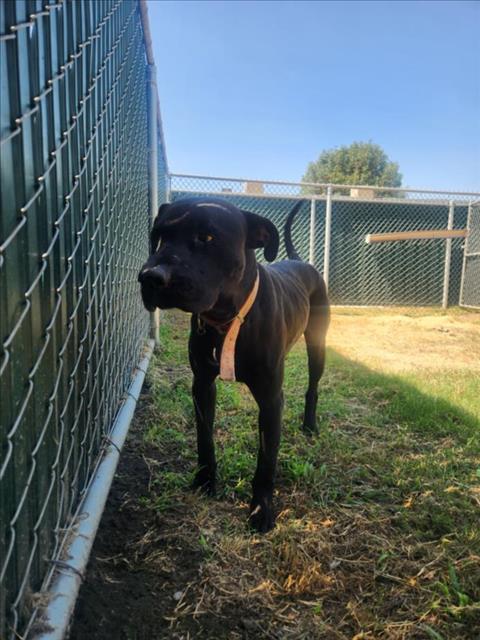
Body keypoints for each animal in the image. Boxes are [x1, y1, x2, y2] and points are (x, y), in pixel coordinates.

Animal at [137, 198, 328, 532]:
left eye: (207, 237)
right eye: (158, 235)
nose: (150, 276)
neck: (225, 320)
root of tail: (300, 261)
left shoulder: (270, 399)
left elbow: (266, 461)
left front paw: (260, 510)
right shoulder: (202, 385)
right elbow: (204, 438)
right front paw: (204, 482)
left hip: (318, 345)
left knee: (312, 387)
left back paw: (309, 424)